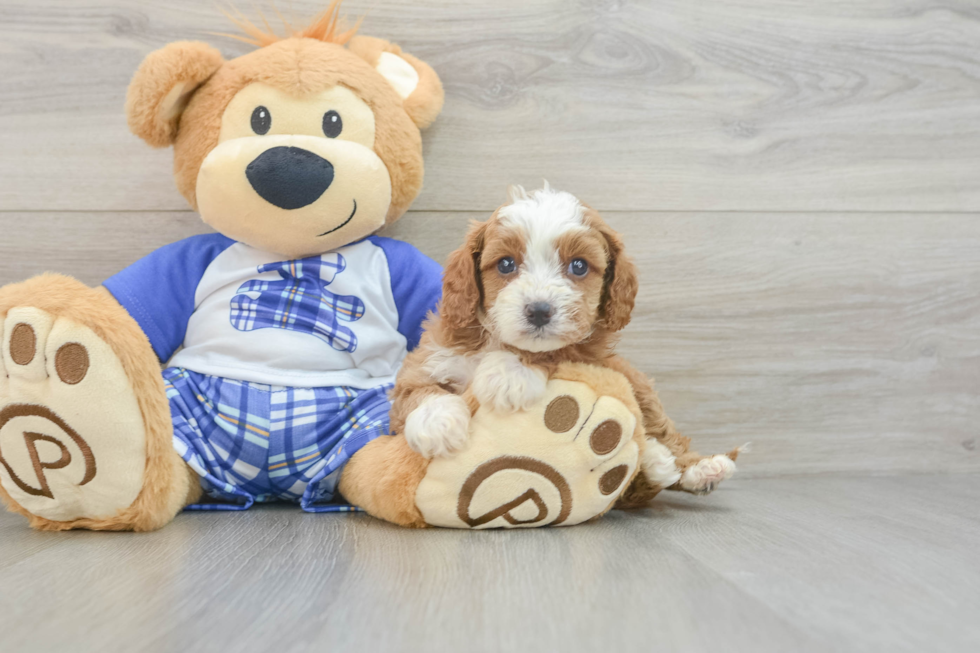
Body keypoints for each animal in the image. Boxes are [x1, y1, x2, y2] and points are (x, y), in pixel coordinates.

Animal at [386, 186, 740, 502]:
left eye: (579, 265)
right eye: (505, 264)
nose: (539, 311)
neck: (497, 341)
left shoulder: (588, 353)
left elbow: (557, 351)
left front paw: (509, 374)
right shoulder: (431, 358)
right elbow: (417, 391)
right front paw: (437, 425)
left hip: (634, 382)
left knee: (662, 432)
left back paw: (696, 469)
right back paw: (657, 461)